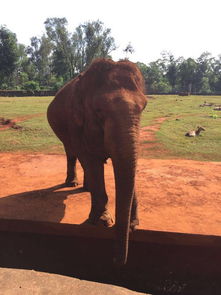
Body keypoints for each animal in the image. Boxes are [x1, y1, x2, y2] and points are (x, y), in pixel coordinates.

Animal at [46, 58, 147, 266]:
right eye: (99, 111)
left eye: (144, 108)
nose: (116, 260)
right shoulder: (75, 123)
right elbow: (91, 160)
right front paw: (102, 222)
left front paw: (133, 224)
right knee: (72, 152)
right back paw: (73, 184)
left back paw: (86, 188)